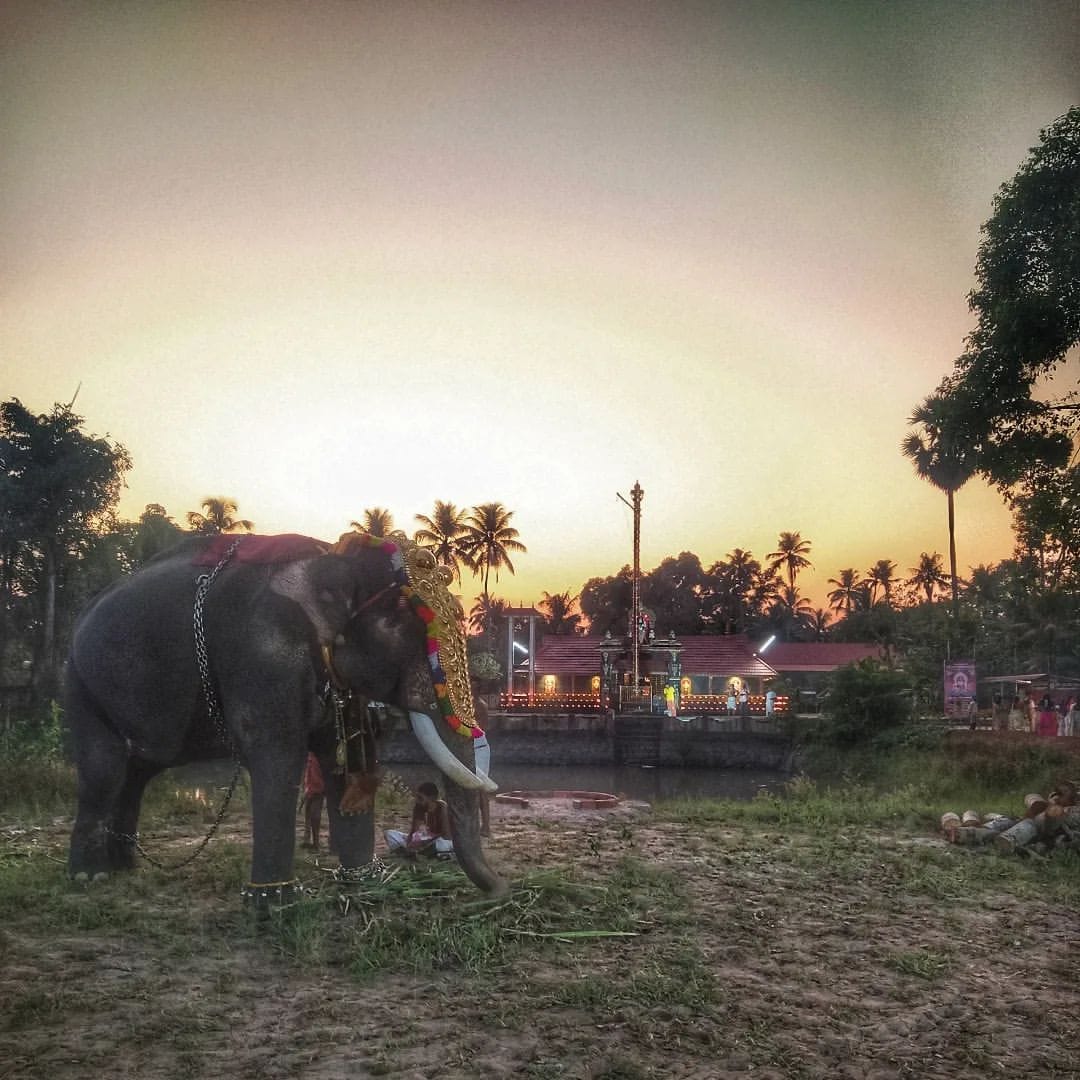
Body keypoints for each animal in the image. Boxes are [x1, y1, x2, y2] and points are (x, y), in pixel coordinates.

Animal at [67, 531, 505, 902]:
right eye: (402, 625)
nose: (502, 889)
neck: (332, 554)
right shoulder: (262, 649)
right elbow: (279, 755)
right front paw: (274, 903)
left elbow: (343, 756)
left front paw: (363, 884)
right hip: (80, 680)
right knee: (104, 769)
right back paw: (90, 877)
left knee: (140, 769)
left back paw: (126, 867)